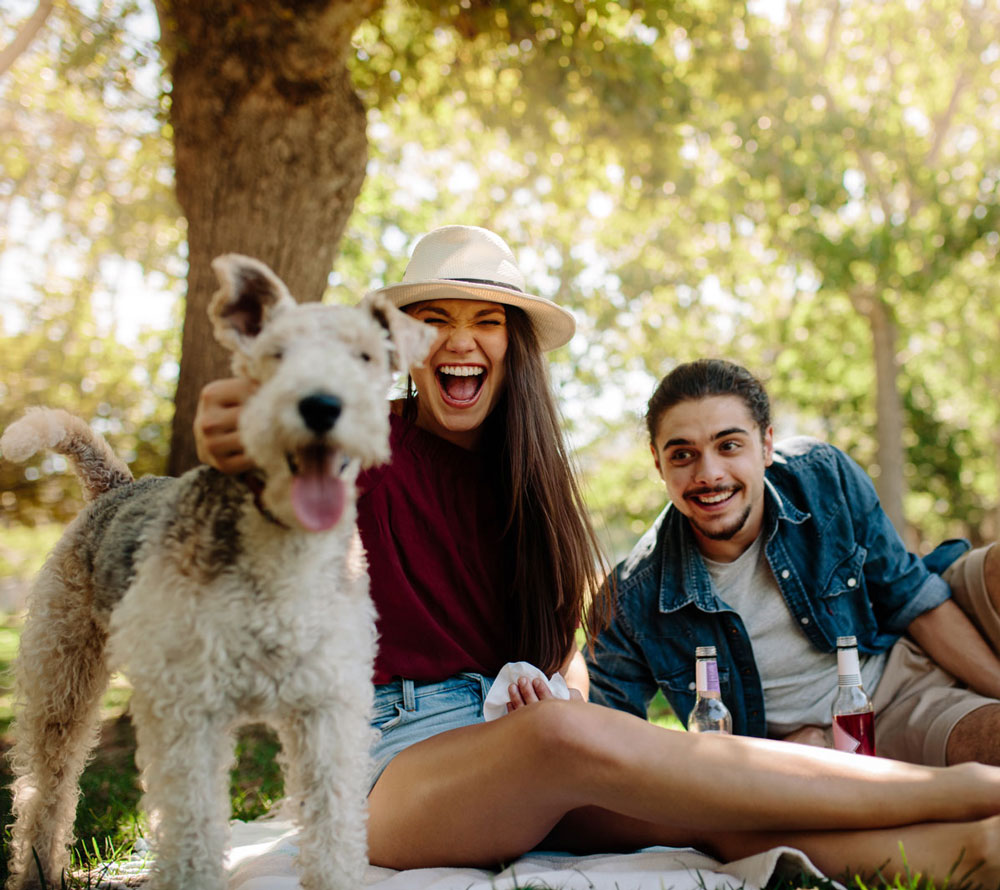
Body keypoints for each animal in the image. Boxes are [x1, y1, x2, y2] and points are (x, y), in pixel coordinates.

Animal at [2, 255, 434, 888]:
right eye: (276, 353)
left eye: (365, 356)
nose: (321, 407)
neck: (280, 554)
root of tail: (117, 484)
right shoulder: (190, 712)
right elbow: (193, 835)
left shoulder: (326, 708)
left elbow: (333, 829)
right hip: (63, 675)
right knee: (44, 787)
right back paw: (37, 871)